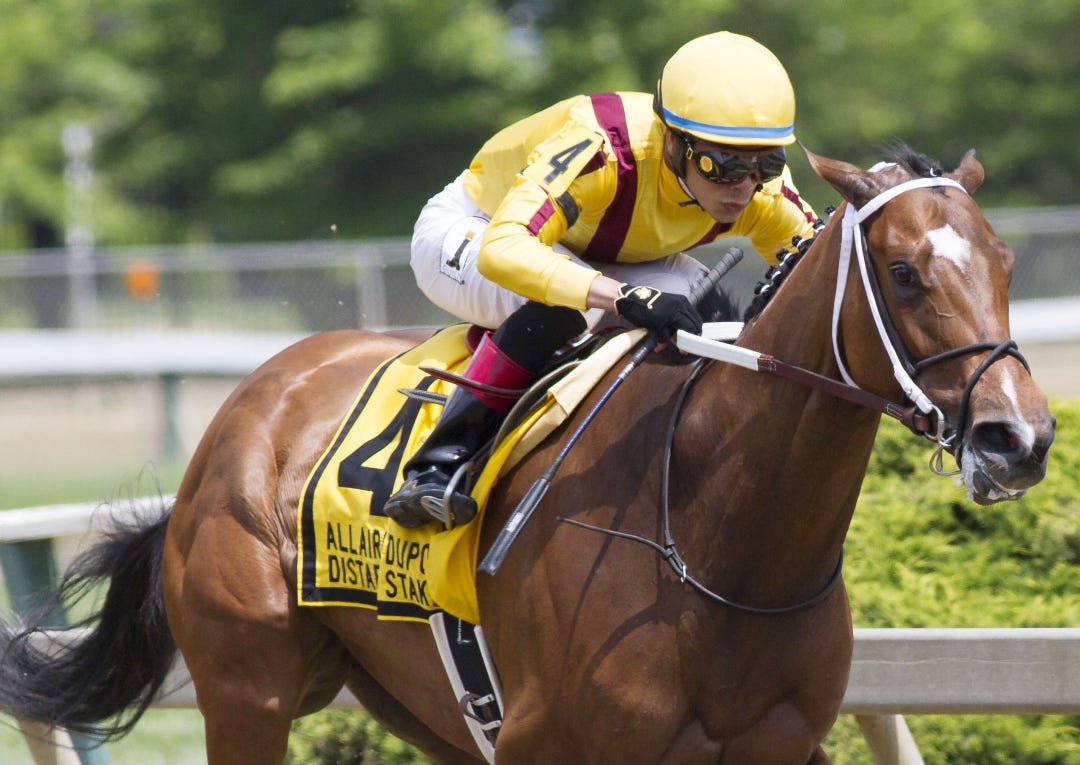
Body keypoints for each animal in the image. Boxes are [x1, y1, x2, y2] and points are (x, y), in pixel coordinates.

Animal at [0, 144, 1055, 764]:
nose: (1021, 438)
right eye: (905, 272)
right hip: (247, 689)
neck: (719, 545)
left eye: (1006, 264)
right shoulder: (550, 743)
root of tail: (253, 401)